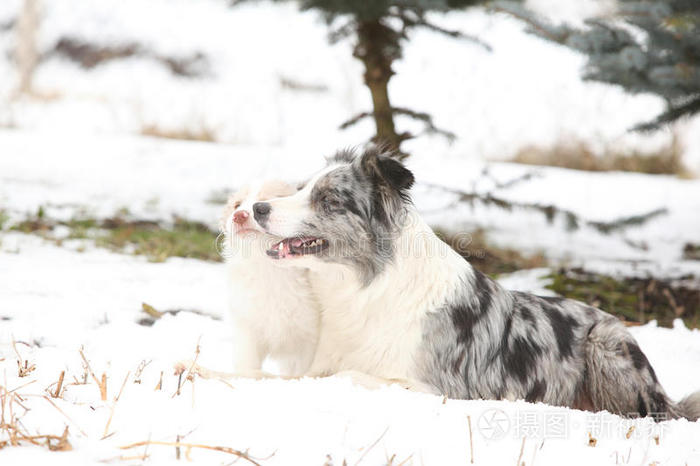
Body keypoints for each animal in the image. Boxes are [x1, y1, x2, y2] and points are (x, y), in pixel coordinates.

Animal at [219, 180, 320, 376]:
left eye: (263, 204)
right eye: (236, 205)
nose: (239, 215)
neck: (268, 268)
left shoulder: (308, 342)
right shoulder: (248, 329)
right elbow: (247, 366)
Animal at [252, 147, 700, 420]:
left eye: (328, 200)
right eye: (301, 188)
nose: (257, 207)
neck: (366, 284)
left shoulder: (441, 389)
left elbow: (348, 376)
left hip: (605, 345)